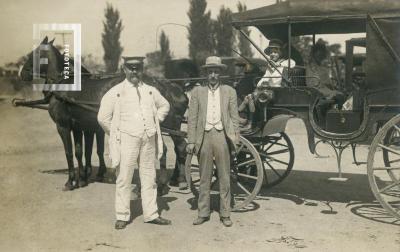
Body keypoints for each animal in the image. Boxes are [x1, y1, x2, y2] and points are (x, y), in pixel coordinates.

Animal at [17, 37, 189, 191]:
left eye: (35, 53)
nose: (22, 74)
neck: (64, 86)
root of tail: (163, 85)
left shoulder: (63, 126)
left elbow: (69, 152)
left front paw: (71, 181)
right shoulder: (79, 127)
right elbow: (80, 151)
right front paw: (82, 179)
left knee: (165, 149)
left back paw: (160, 185)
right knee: (179, 147)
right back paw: (175, 180)